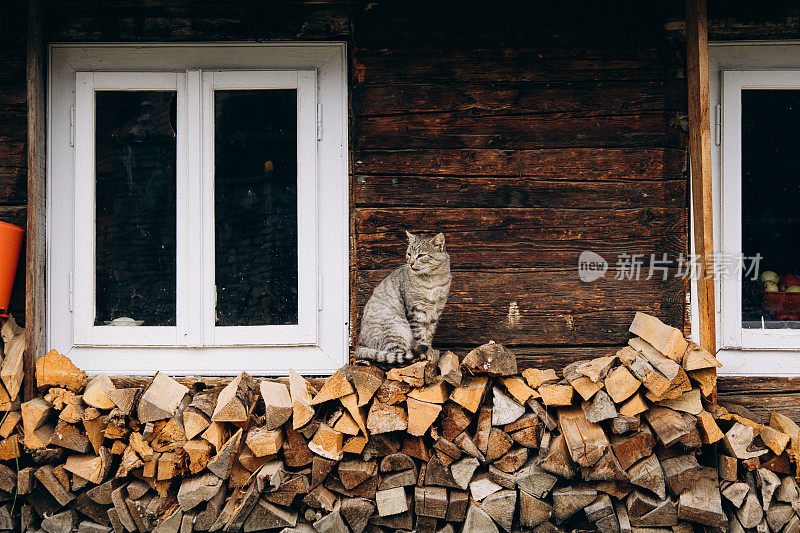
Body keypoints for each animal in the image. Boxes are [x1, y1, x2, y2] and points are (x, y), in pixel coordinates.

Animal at [354, 231, 450, 364]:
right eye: (409, 254)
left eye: (421, 255)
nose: (410, 263)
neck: (432, 280)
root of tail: (359, 344)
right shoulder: (416, 311)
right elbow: (419, 335)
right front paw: (424, 353)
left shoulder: (436, 311)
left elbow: (429, 334)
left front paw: (429, 349)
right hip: (398, 330)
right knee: (392, 358)